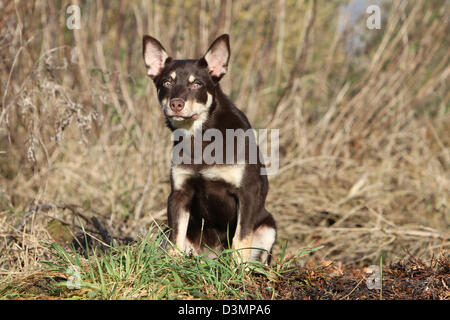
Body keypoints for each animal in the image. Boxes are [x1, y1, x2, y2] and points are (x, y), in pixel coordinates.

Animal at [142, 33, 276, 264]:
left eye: (197, 84)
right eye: (167, 82)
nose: (176, 104)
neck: (200, 136)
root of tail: (211, 257)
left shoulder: (247, 193)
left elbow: (241, 238)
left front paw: (237, 269)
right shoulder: (179, 194)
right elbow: (176, 237)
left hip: (269, 227)